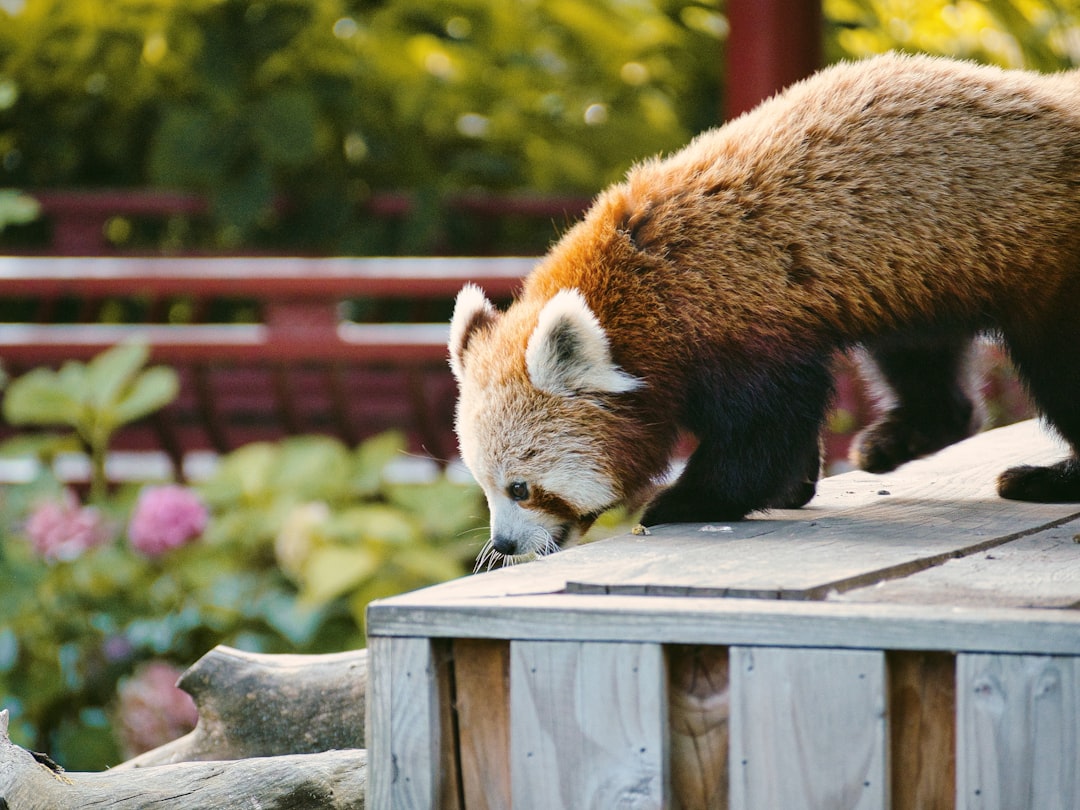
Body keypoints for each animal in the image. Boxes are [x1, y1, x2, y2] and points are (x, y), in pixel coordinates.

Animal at [444, 49, 1080, 557]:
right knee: (923, 360)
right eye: (483, 485)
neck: (640, 287)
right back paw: (901, 439)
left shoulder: (740, 322)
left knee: (1060, 369)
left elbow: (767, 431)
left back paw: (1050, 478)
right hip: (925, 276)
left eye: (521, 488)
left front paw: (686, 502)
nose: (503, 545)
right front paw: (795, 486)